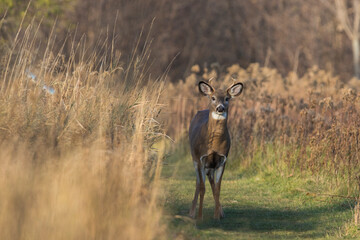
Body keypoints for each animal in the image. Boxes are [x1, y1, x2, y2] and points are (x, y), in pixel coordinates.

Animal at [188, 80, 245, 219]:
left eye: (227, 98)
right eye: (213, 98)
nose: (220, 108)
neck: (214, 145)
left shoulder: (222, 160)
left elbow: (218, 189)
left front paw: (217, 216)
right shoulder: (200, 158)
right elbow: (202, 188)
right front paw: (200, 216)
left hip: (210, 165)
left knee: (211, 181)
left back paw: (221, 212)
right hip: (194, 158)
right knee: (198, 183)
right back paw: (192, 213)